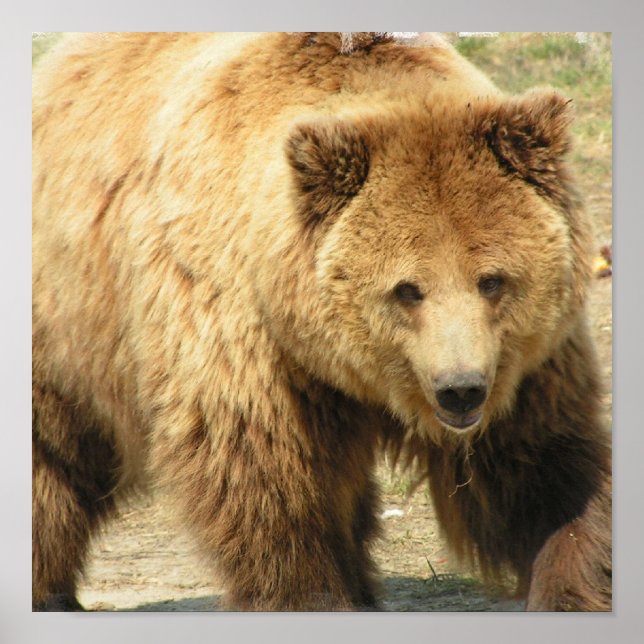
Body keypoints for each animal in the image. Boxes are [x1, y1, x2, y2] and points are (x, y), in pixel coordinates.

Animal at [32, 32, 611, 611]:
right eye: (407, 289)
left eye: (492, 279)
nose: (460, 389)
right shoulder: (246, 339)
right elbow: (270, 486)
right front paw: (311, 594)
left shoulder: (527, 363)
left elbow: (541, 468)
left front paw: (568, 585)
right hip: (72, 322)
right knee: (55, 455)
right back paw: (52, 591)